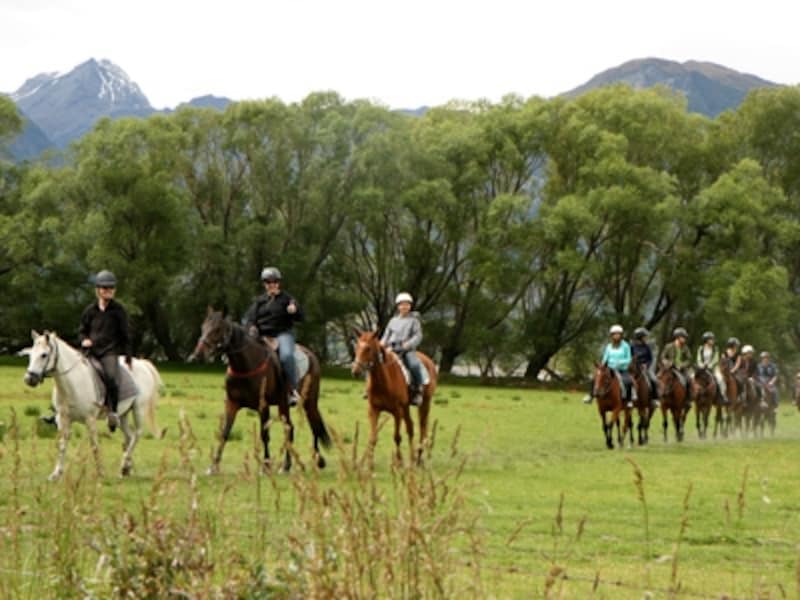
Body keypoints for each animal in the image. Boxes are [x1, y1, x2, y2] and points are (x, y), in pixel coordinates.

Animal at [21, 330, 163, 480]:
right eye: (30, 354)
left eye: (44, 355)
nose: (29, 379)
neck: (73, 382)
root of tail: (142, 363)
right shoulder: (64, 419)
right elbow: (62, 444)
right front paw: (56, 473)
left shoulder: (90, 419)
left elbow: (94, 445)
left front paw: (100, 472)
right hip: (123, 414)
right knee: (129, 437)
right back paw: (126, 468)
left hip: (138, 409)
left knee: (137, 435)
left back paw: (125, 465)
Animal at [189, 310, 330, 474]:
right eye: (203, 327)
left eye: (217, 329)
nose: (197, 355)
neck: (246, 364)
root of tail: (311, 356)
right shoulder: (231, 403)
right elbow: (224, 433)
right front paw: (213, 466)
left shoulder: (263, 406)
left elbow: (264, 435)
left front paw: (265, 466)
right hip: (283, 404)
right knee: (290, 428)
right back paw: (287, 465)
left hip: (309, 402)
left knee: (313, 426)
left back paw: (317, 461)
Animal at [352, 332, 438, 464]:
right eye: (356, 347)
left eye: (368, 348)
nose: (355, 371)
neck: (383, 382)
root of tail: (429, 361)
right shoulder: (373, 410)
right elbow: (373, 438)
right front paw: (370, 465)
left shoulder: (397, 412)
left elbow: (397, 437)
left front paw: (399, 462)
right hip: (406, 408)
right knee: (410, 427)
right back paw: (413, 458)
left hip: (424, 403)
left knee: (422, 428)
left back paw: (418, 458)